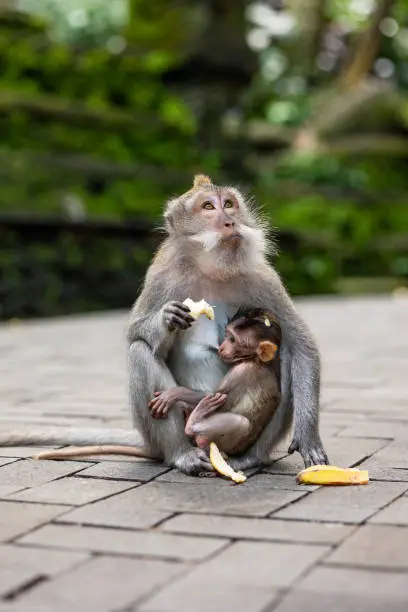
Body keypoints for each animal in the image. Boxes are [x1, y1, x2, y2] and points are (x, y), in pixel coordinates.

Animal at [148, 308, 282, 456]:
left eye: (233, 340)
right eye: (228, 336)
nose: (222, 347)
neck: (257, 360)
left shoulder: (240, 371)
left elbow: (215, 396)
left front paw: (173, 393)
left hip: (226, 444)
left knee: (241, 422)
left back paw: (193, 422)